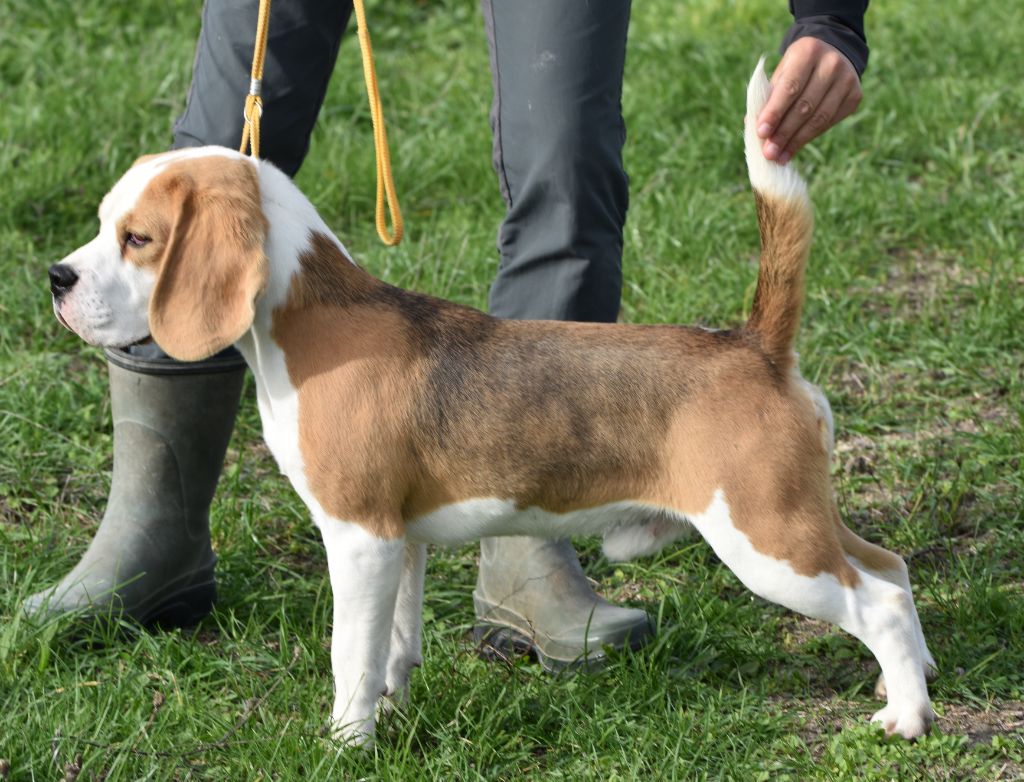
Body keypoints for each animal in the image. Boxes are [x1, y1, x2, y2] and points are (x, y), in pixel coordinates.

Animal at [48, 62, 933, 745]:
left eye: (138, 239)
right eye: (101, 224)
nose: (56, 278)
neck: (307, 318)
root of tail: (754, 344)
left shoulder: (359, 537)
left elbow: (349, 653)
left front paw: (345, 742)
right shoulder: (399, 542)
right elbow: (393, 645)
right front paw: (391, 715)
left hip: (764, 540)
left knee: (881, 601)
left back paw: (907, 719)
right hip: (797, 518)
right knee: (891, 566)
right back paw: (910, 679)